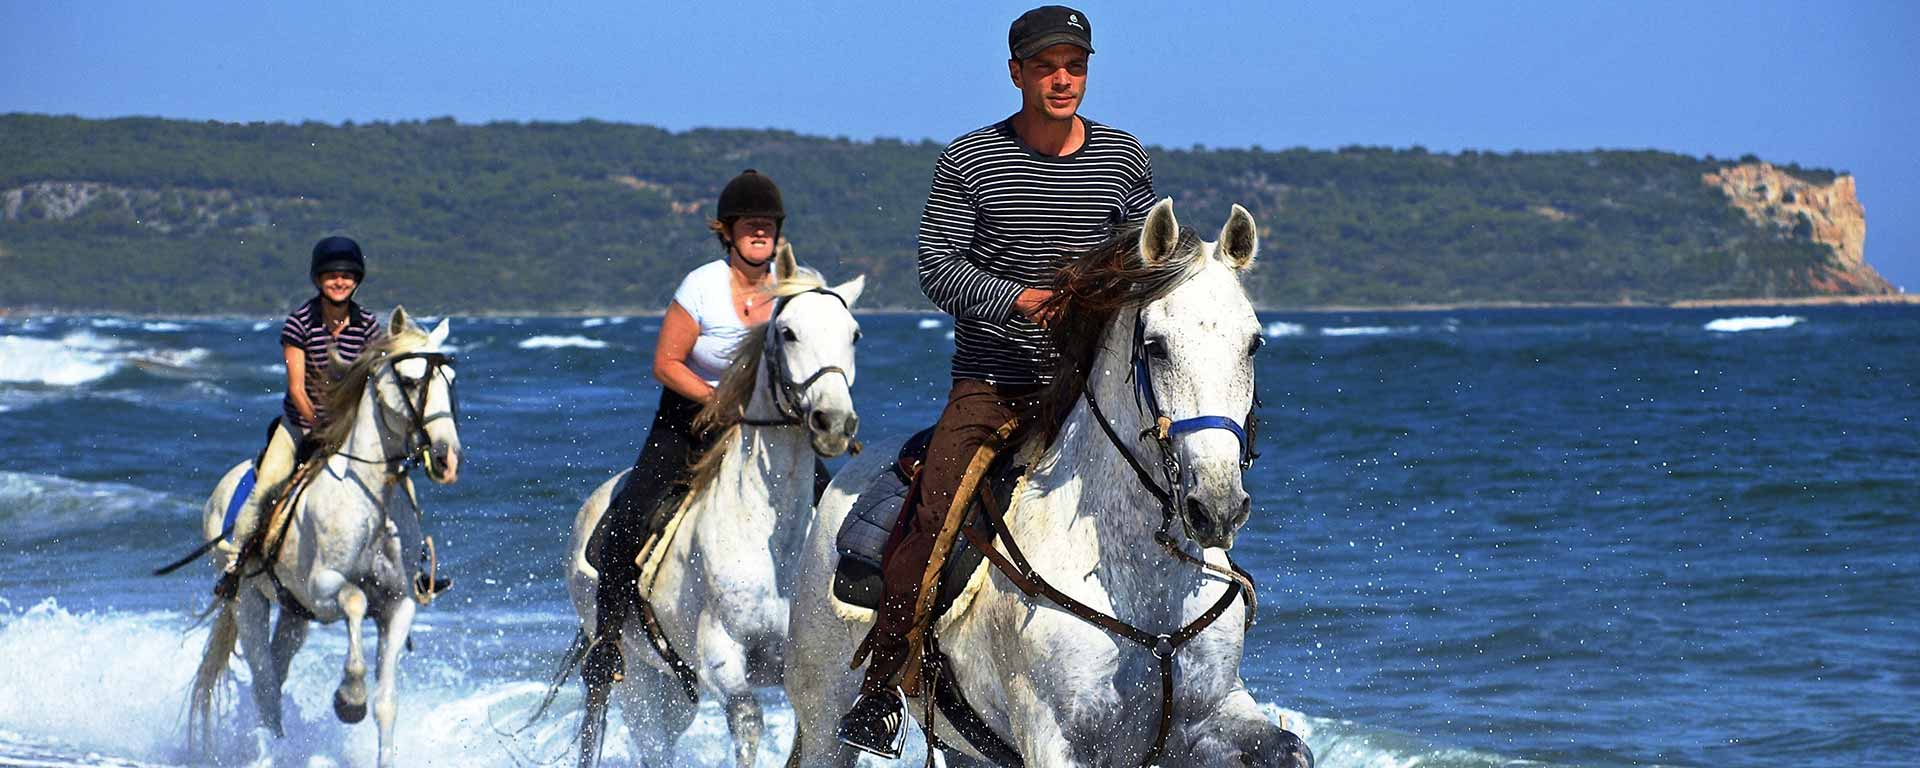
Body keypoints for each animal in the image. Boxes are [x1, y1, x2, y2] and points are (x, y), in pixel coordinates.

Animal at [185, 307, 462, 768]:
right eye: (409, 380)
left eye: (450, 379)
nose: (446, 458)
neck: (371, 497)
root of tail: (219, 492)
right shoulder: (323, 588)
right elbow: (355, 600)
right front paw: (349, 698)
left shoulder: (399, 603)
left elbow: (387, 702)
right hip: (249, 601)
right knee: (264, 684)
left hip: (294, 612)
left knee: (276, 674)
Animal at [564, 249, 867, 764]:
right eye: (788, 332)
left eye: (854, 334)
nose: (834, 422)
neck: (770, 536)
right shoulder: (721, 657)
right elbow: (747, 724)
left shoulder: (813, 667)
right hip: (635, 677)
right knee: (646, 741)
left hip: (674, 687)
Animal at [787, 199, 1313, 768]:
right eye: (1156, 346)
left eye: (1253, 344)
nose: (1216, 507)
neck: (1144, 583)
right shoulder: (1052, 736)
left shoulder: (1212, 715)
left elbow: (1290, 749)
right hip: (824, 719)